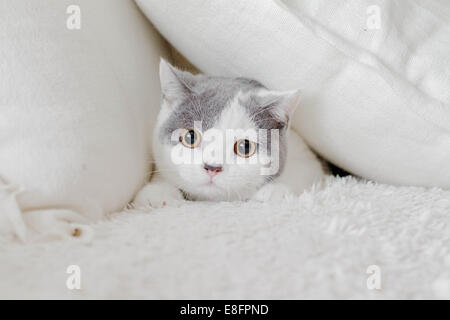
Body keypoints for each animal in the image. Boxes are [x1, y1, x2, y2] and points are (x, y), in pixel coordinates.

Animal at [132, 59, 326, 208]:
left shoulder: (306, 159)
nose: (212, 167)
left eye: (245, 147)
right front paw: (158, 193)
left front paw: (275, 191)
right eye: (190, 137)